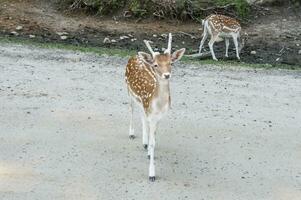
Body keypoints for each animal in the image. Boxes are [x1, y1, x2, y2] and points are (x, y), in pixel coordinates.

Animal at [124, 33, 185, 181]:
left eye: (171, 63)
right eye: (156, 65)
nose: (167, 75)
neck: (158, 105)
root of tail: (135, 56)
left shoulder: (158, 117)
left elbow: (154, 141)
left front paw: (149, 151)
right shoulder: (151, 113)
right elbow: (153, 142)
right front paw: (151, 174)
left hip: (141, 103)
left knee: (142, 116)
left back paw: (144, 143)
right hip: (128, 91)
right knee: (131, 109)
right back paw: (132, 133)